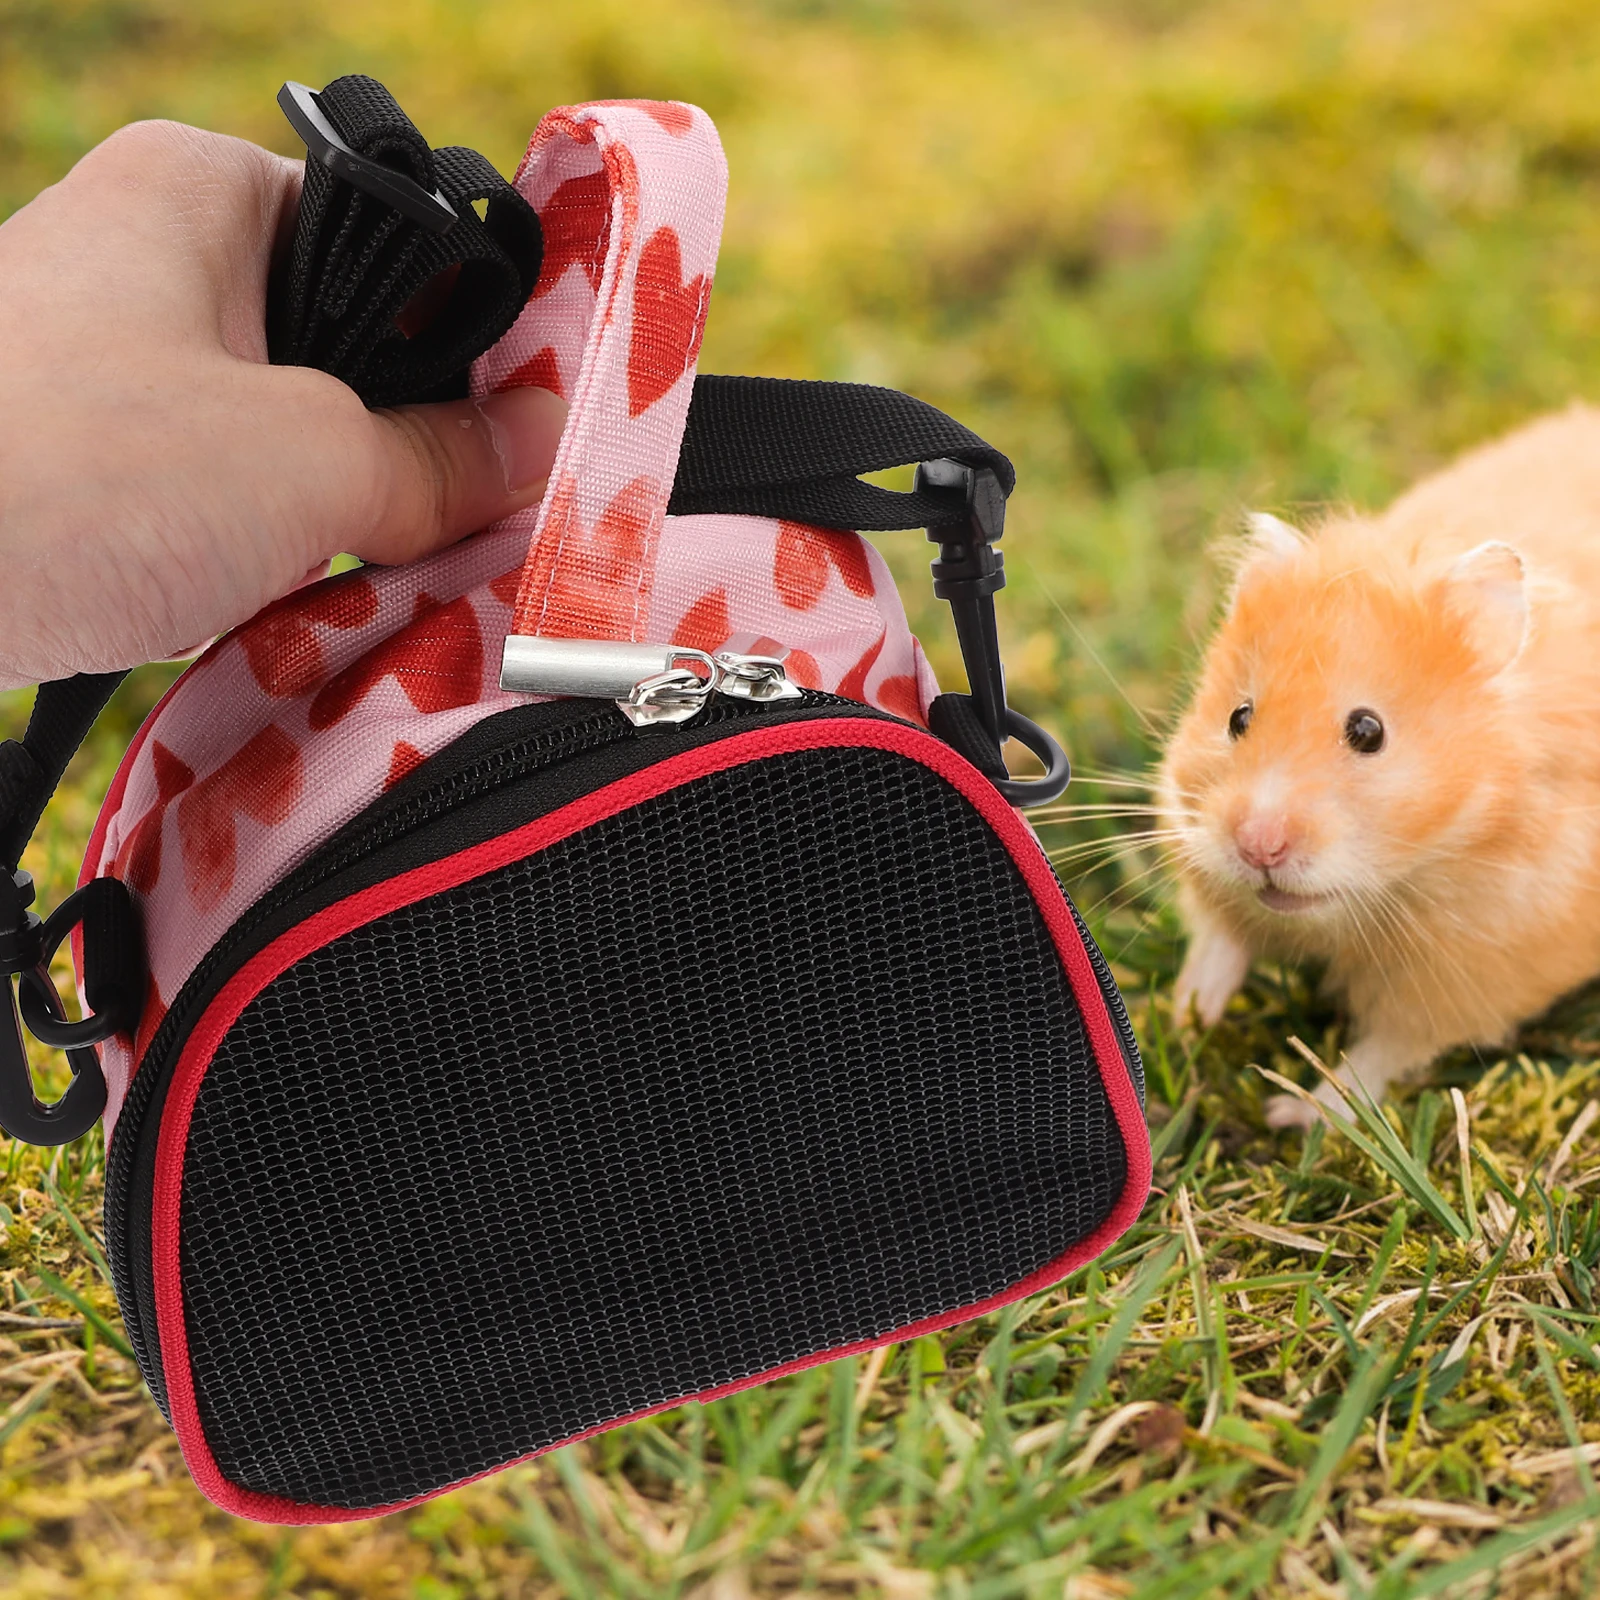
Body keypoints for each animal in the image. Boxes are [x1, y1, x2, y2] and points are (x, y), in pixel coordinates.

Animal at [1159, 403, 1600, 1127]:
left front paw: (1290, 1115)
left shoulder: (1477, 968)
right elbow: (1218, 934)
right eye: (1237, 717)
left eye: (1368, 732)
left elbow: (1378, 1058)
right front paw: (1187, 1018)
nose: (1258, 847)